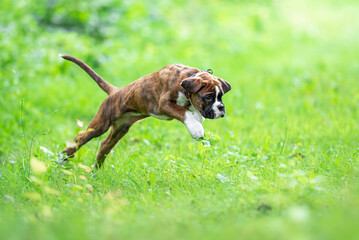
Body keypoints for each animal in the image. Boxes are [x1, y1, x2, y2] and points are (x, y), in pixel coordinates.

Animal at [58, 54, 231, 168]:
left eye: (221, 96)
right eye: (208, 97)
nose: (221, 108)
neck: (186, 77)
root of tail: (115, 91)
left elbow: (194, 111)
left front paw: (198, 120)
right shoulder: (163, 104)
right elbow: (184, 113)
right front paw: (196, 129)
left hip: (121, 128)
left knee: (105, 144)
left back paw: (96, 170)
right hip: (102, 123)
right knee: (81, 136)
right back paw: (62, 158)